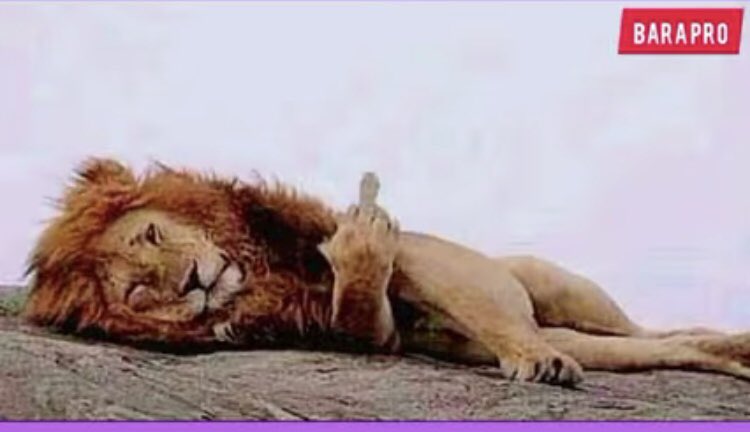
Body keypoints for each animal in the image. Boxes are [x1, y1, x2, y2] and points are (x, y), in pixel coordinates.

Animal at [23, 158, 750, 387]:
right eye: (138, 291)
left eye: (151, 235)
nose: (191, 283)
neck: (257, 271)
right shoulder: (348, 328)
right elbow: (364, 316)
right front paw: (359, 260)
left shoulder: (412, 252)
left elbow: (412, 258)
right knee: (647, 346)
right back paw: (726, 353)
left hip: (548, 286)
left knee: (634, 328)